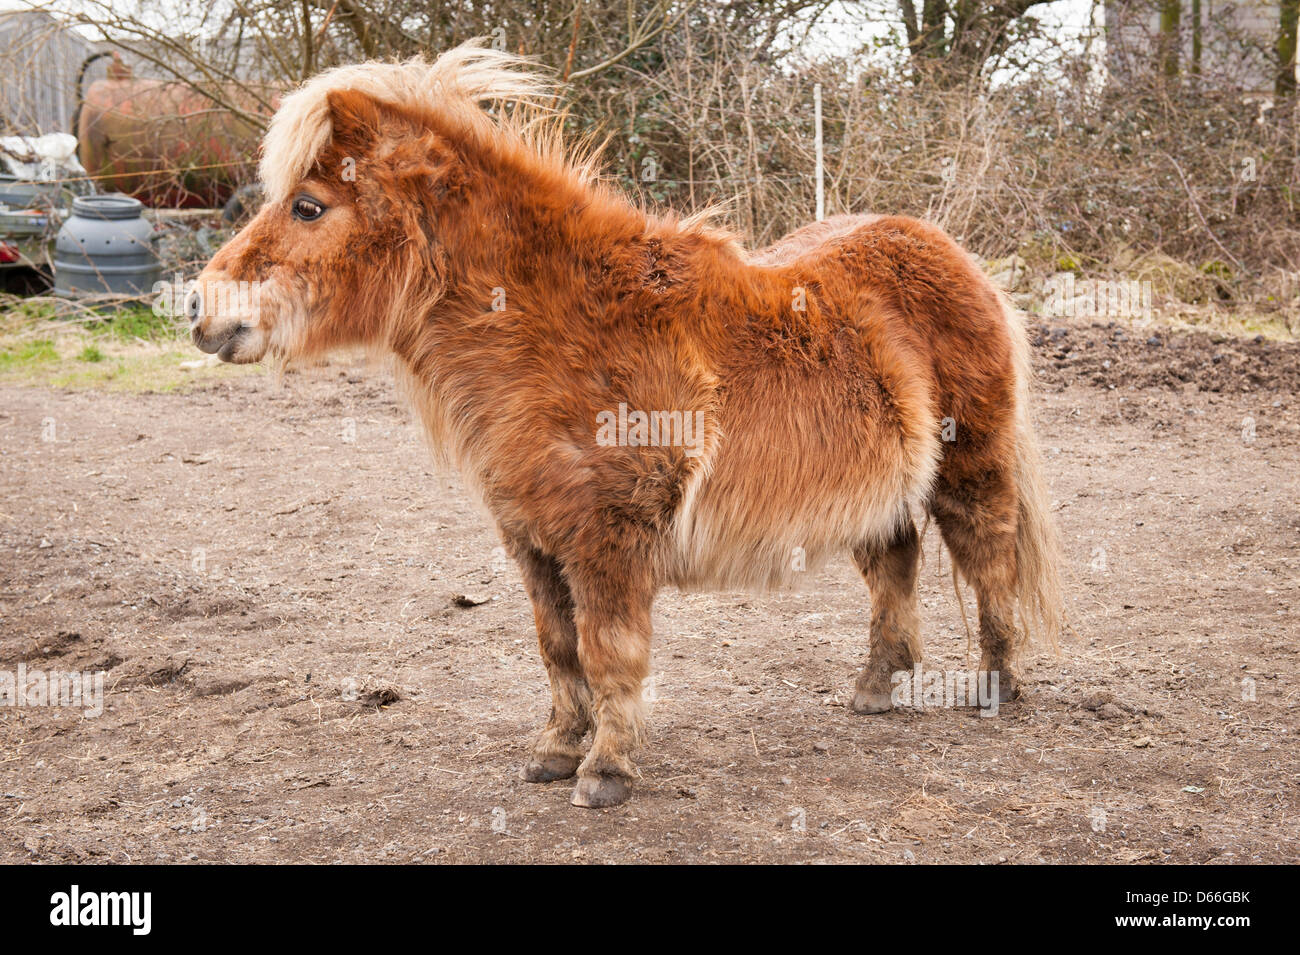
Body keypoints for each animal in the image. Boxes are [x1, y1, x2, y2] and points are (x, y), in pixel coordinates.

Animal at [192, 42, 1066, 805]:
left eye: (309, 207)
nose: (201, 305)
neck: (560, 328)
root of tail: (952, 252)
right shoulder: (533, 538)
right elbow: (557, 648)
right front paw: (555, 751)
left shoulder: (609, 539)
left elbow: (610, 651)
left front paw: (606, 771)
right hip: (878, 486)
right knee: (896, 565)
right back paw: (876, 687)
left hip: (972, 466)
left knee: (988, 559)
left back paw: (994, 685)